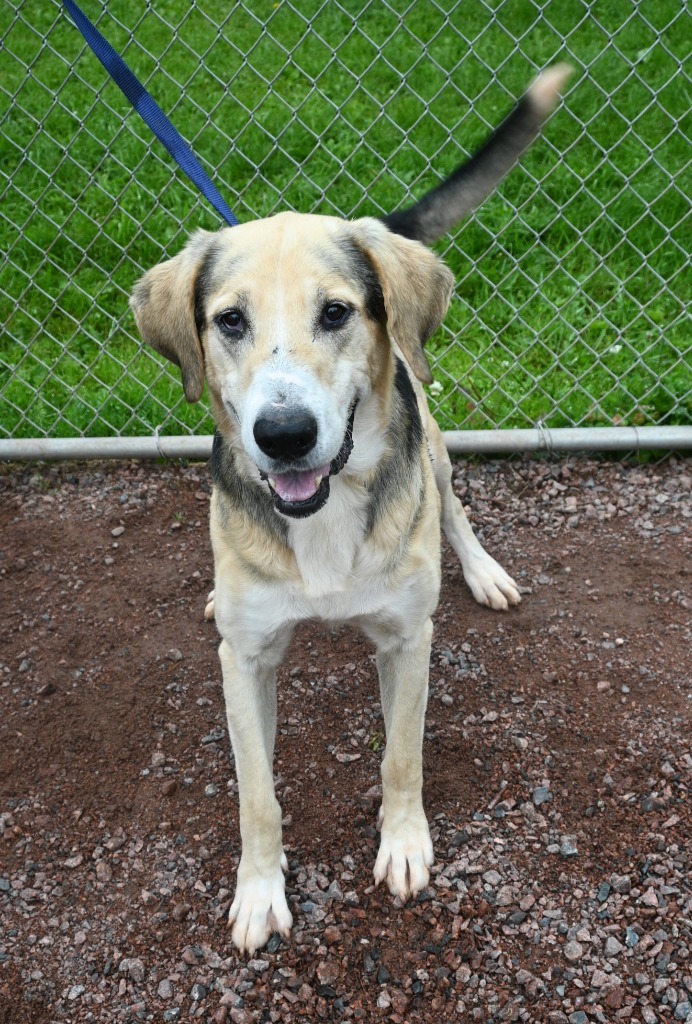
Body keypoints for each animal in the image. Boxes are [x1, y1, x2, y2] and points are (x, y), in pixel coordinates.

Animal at [128, 61, 569, 950]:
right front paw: (260, 891)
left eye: (335, 311)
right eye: (229, 320)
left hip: (435, 448)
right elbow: (256, 795)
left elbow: (400, 756)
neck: (322, 519)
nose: (284, 434)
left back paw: (481, 570)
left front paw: (402, 847)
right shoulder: (244, 660)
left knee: (453, 506)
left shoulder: (407, 640)